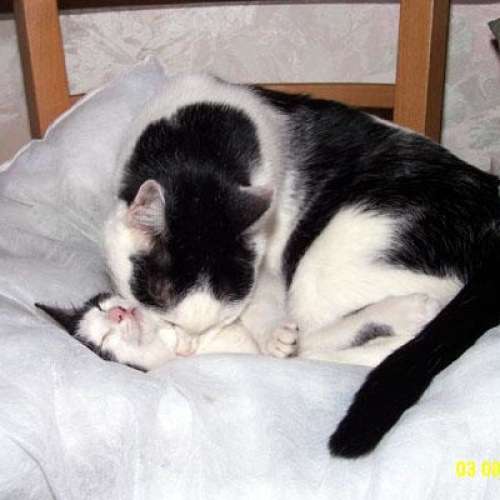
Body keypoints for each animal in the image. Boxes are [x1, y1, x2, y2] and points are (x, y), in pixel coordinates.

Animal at [100, 73, 500, 457]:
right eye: (163, 305)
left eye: (223, 317)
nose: (188, 347)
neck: (196, 149)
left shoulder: (268, 252)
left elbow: (265, 306)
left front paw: (273, 334)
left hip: (329, 263)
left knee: (323, 345)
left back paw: (400, 313)